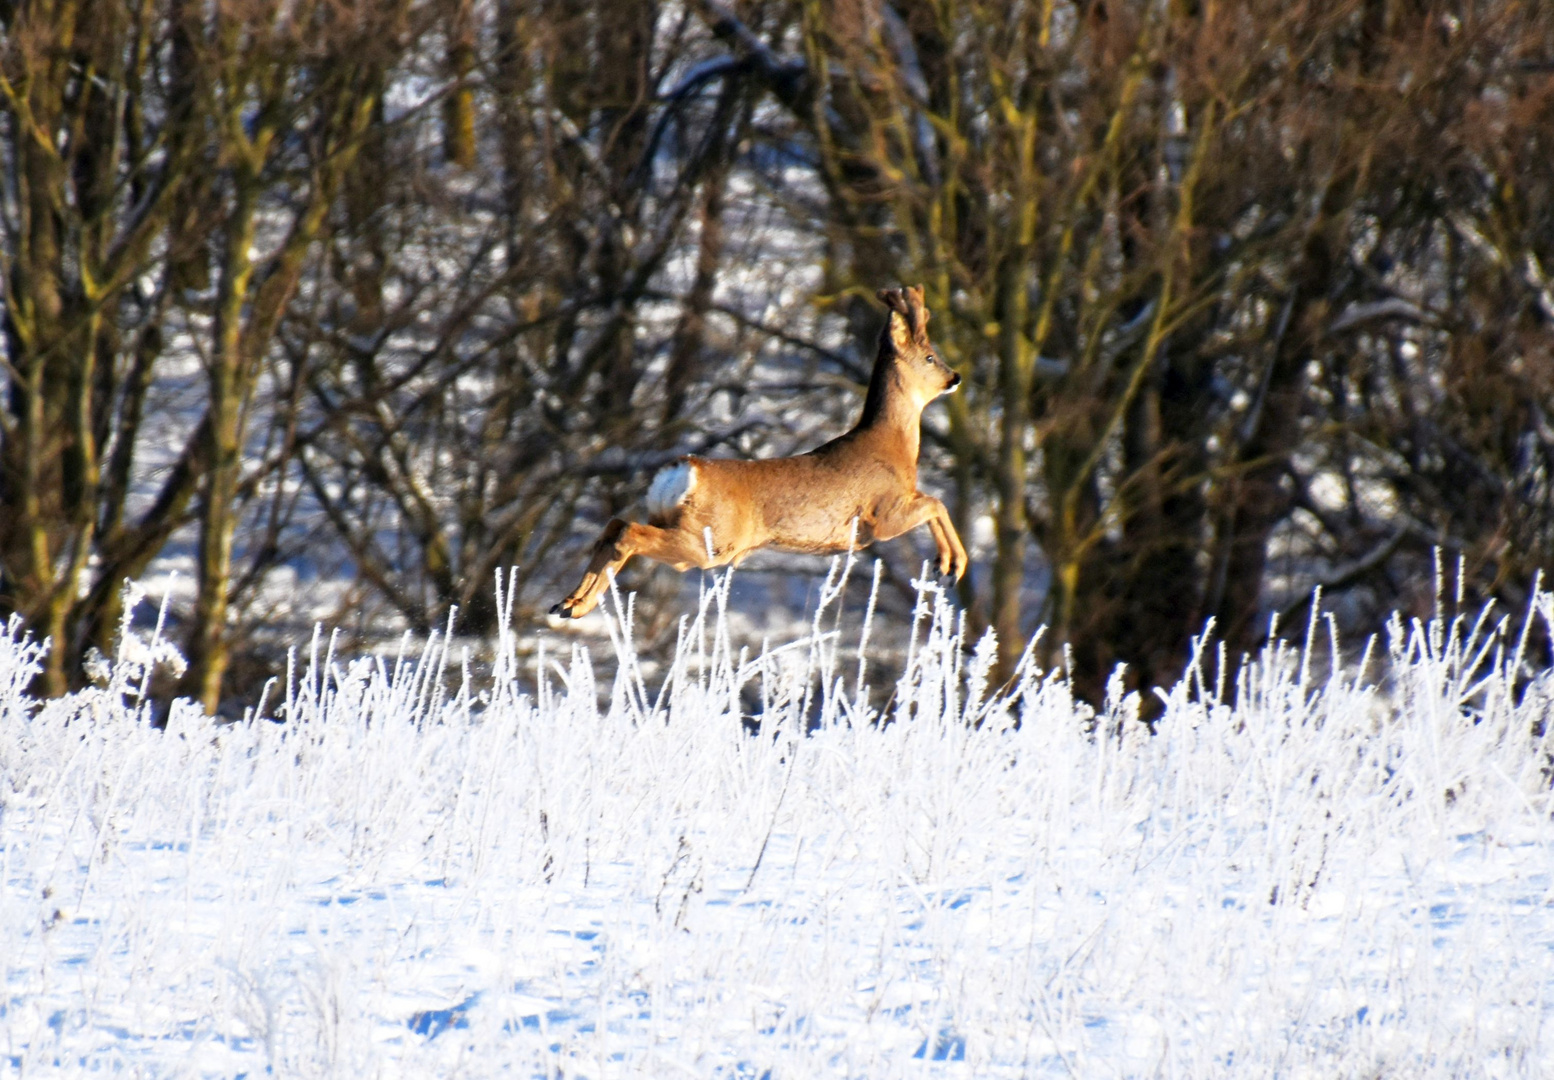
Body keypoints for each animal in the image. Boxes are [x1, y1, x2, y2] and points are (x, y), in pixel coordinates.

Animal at [553, 287, 963, 621]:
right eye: (930, 357)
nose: (955, 377)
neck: (893, 444)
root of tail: (684, 469)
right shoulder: (881, 516)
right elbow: (936, 502)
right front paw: (951, 566)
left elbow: (933, 501)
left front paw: (947, 564)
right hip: (711, 540)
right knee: (627, 532)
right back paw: (575, 604)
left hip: (679, 528)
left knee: (614, 526)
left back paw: (569, 604)